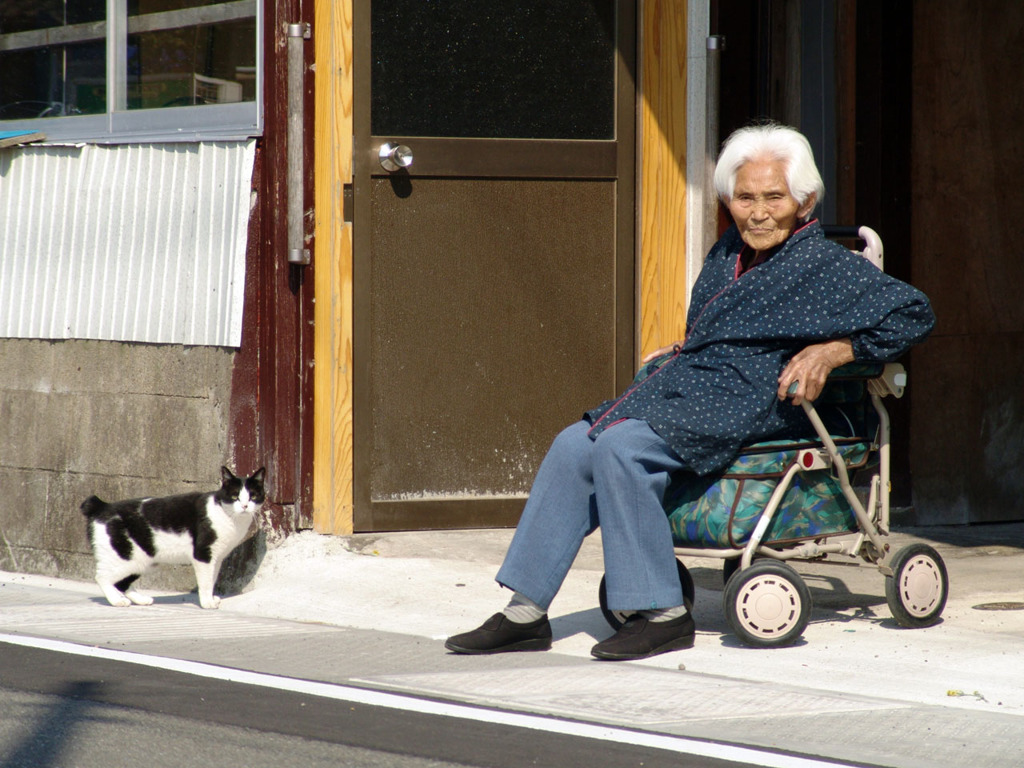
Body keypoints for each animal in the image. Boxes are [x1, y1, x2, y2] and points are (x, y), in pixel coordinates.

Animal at [82, 466, 266, 610]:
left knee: (122, 582)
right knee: (102, 577)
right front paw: (207, 602)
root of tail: (103, 506)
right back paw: (117, 601)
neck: (230, 516)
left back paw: (139, 600)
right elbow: (206, 582)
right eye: (235, 496)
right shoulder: (203, 555)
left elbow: (212, 579)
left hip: (141, 562)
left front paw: (211, 599)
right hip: (123, 556)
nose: (245, 506)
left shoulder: (217, 558)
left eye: (253, 496)